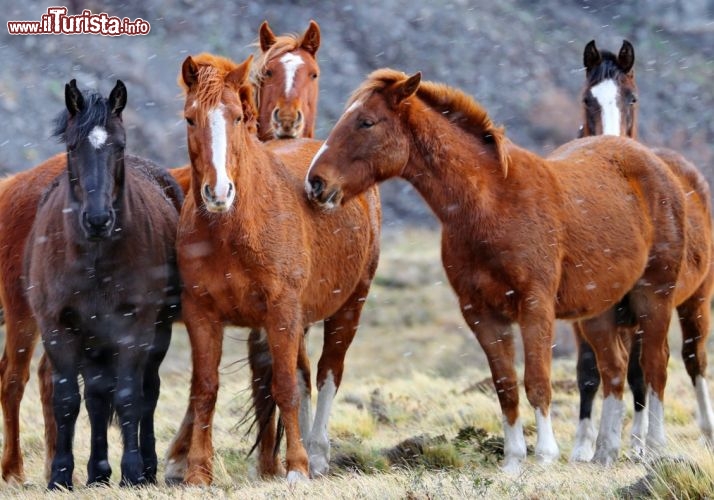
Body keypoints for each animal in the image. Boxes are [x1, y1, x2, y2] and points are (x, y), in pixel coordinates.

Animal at [23, 80, 182, 490]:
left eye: (120, 146)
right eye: (72, 147)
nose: (97, 220)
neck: (95, 257)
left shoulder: (135, 327)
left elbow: (129, 397)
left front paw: (133, 473)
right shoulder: (57, 327)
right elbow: (66, 399)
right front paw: (60, 476)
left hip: (158, 332)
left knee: (148, 391)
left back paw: (147, 468)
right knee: (95, 399)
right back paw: (97, 473)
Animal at [163, 51, 382, 484]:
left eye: (236, 117)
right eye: (190, 118)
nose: (218, 192)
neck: (233, 227)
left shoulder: (282, 312)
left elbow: (284, 387)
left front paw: (295, 468)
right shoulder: (201, 313)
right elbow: (205, 388)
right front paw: (197, 472)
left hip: (349, 305)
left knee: (327, 372)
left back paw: (316, 457)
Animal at [304, 68, 684, 474]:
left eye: (366, 122)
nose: (316, 182)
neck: (492, 204)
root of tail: (655, 164)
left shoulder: (535, 306)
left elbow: (537, 382)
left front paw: (545, 457)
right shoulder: (482, 315)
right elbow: (505, 385)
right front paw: (514, 463)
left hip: (654, 296)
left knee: (654, 366)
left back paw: (655, 449)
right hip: (598, 312)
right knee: (614, 368)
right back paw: (605, 453)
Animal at [568, 40, 712, 464]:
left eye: (631, 97)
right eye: (588, 99)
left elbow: (647, 370)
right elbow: (590, 371)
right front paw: (583, 446)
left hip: (693, 300)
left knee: (690, 359)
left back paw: (696, 431)